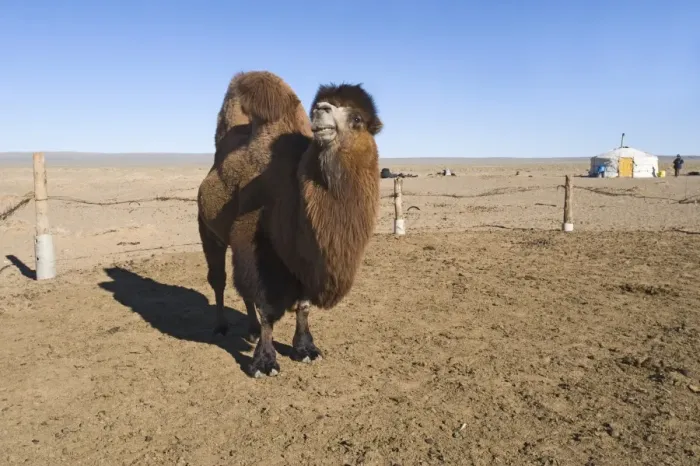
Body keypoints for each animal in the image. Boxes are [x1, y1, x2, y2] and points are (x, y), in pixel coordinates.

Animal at [197, 71, 382, 377]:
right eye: (322, 104)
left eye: (357, 118)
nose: (321, 109)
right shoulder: (254, 241)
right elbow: (267, 307)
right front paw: (264, 362)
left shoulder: (305, 256)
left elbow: (303, 305)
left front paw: (305, 349)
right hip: (208, 230)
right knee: (220, 280)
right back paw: (221, 326)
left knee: (241, 289)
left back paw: (250, 330)